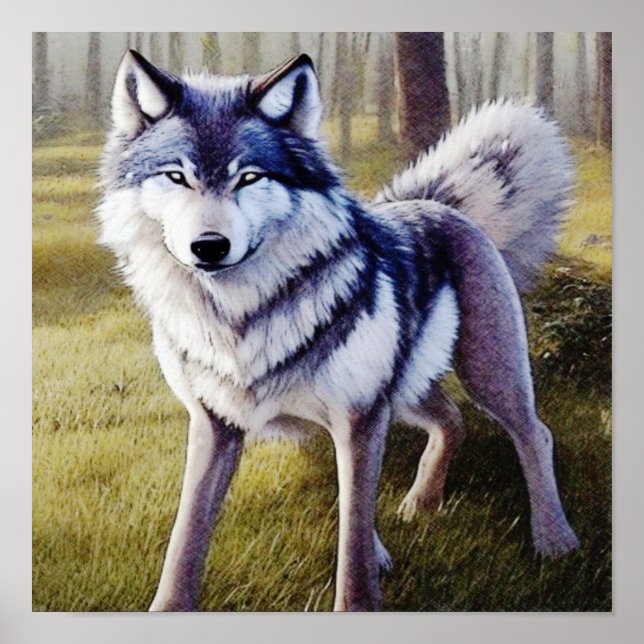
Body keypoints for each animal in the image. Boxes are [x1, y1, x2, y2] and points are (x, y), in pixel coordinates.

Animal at [97, 50, 580, 611]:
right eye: (176, 176)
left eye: (249, 178)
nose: (209, 246)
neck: (242, 319)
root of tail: (436, 204)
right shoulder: (216, 424)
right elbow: (186, 534)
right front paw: (169, 608)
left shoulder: (358, 418)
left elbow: (351, 538)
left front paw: (360, 598)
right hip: (404, 390)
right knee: (451, 419)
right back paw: (420, 504)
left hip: (486, 376)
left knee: (534, 434)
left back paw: (555, 540)